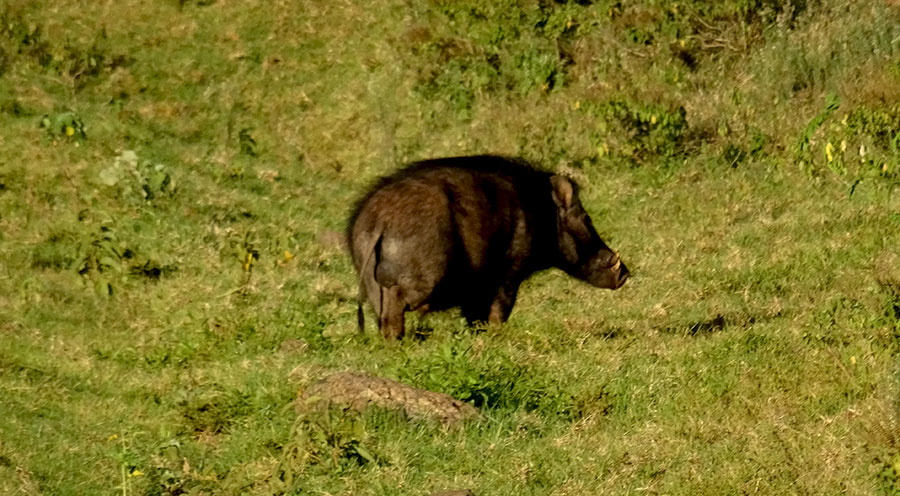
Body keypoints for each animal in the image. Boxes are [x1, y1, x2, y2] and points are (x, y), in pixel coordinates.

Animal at [347, 155, 629, 340]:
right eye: (586, 219)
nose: (624, 273)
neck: (541, 212)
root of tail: (381, 218)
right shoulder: (508, 273)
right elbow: (498, 310)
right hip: (421, 279)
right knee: (396, 304)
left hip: (371, 286)